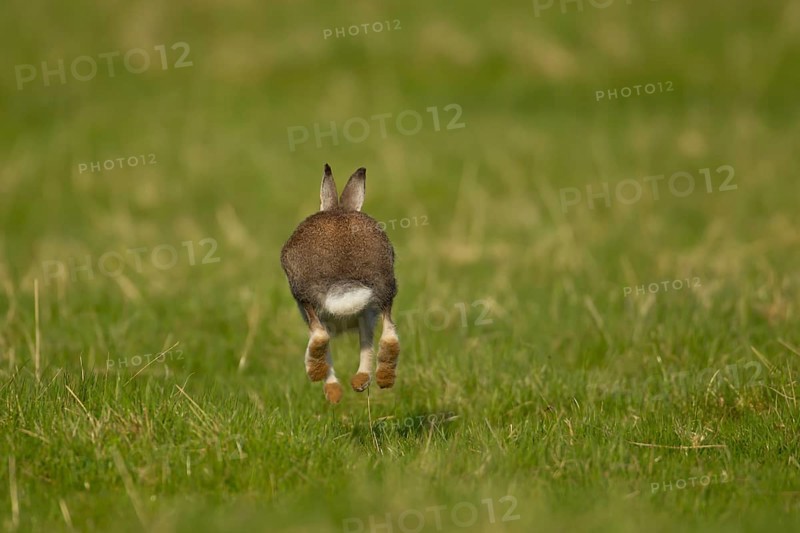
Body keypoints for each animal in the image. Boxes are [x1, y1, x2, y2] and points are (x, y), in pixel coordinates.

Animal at [280, 164, 400, 404]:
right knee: (388, 332)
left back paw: (329, 386)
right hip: (382, 291)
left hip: (306, 295)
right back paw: (373, 379)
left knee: (319, 336)